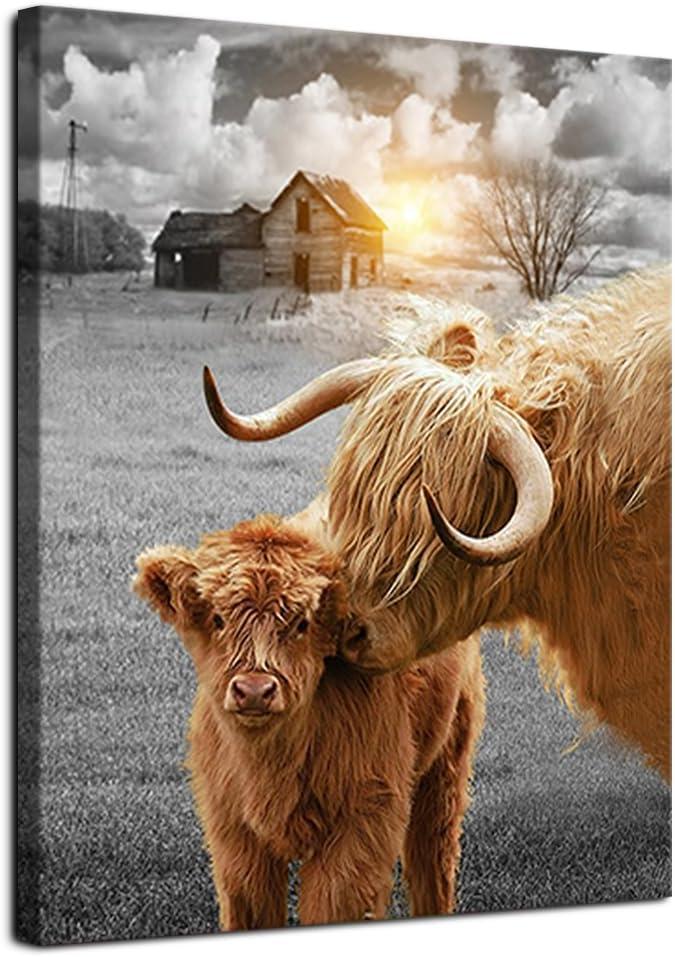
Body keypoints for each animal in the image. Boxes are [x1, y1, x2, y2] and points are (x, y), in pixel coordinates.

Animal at [133, 503, 485, 930]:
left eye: (301, 623)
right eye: (218, 618)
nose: (254, 690)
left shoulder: (363, 820)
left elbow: (334, 905)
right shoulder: (233, 834)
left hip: (446, 762)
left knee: (432, 858)